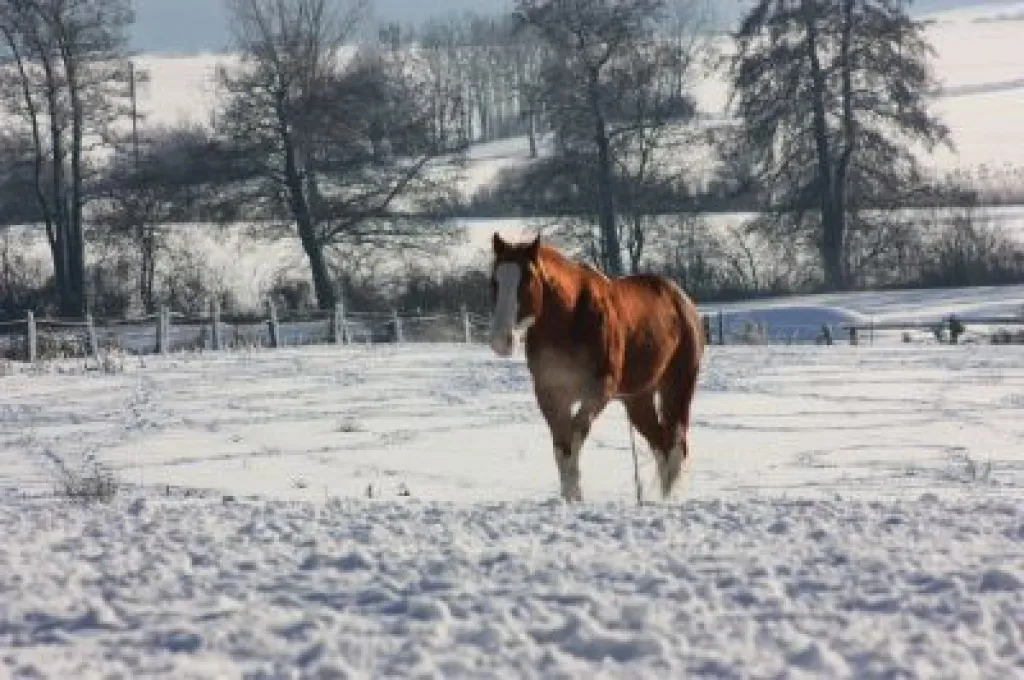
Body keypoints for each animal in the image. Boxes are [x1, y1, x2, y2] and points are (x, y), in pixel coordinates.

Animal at [488, 233, 705, 502]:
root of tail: (682, 301)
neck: (570, 319)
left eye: (527, 279)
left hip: (677, 387)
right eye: (494, 281)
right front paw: (570, 496)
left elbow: (575, 435)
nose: (501, 340)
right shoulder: (550, 393)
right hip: (638, 398)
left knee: (676, 446)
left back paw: (669, 499)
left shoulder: (599, 391)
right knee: (660, 445)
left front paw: (576, 493)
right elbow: (561, 446)